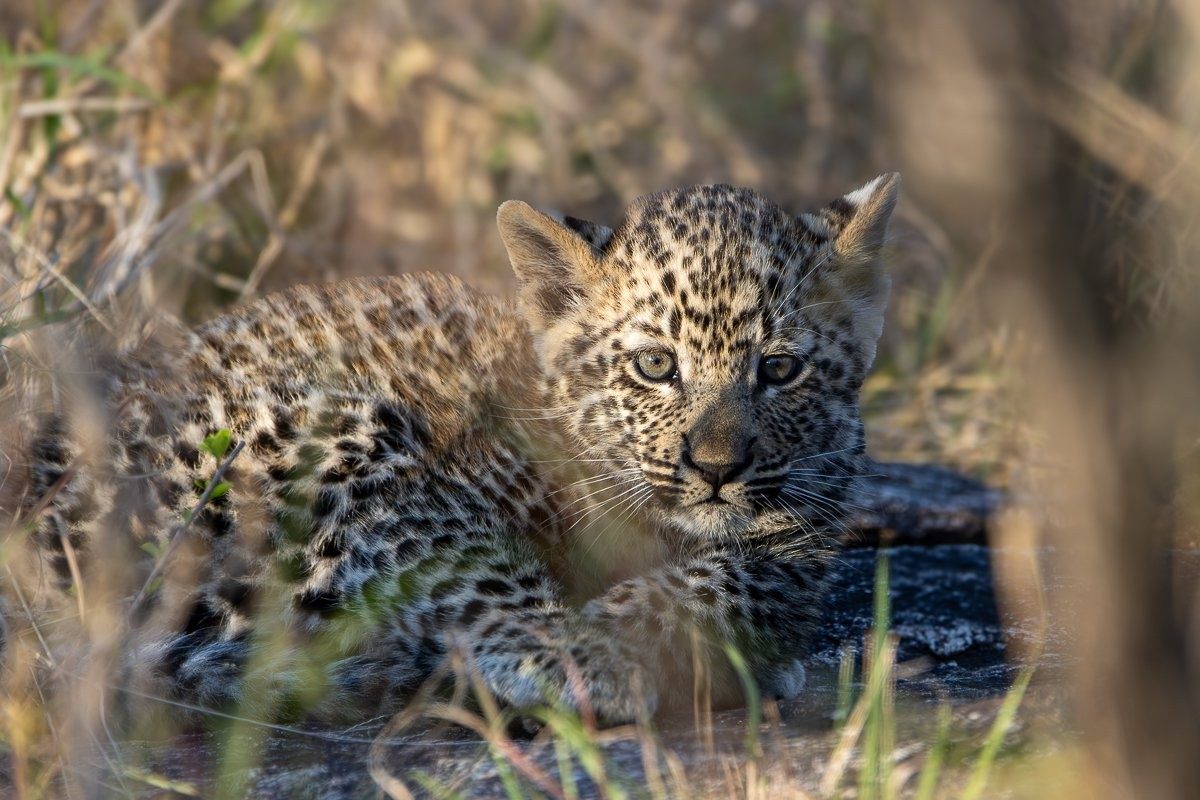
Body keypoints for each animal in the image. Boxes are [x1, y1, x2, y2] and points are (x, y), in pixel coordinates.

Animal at [1, 173, 900, 728]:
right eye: (655, 366)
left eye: (779, 370)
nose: (716, 471)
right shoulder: (411, 499)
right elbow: (479, 567)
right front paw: (578, 658)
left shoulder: (794, 544)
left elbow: (728, 580)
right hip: (312, 434)